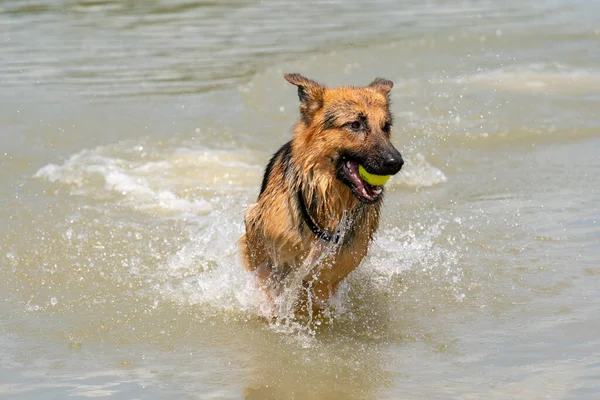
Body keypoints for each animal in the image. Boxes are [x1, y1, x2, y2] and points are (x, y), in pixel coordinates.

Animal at [240, 73, 404, 314]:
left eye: (386, 126)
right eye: (355, 124)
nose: (396, 162)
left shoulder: (327, 281)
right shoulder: (260, 243)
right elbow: (267, 286)